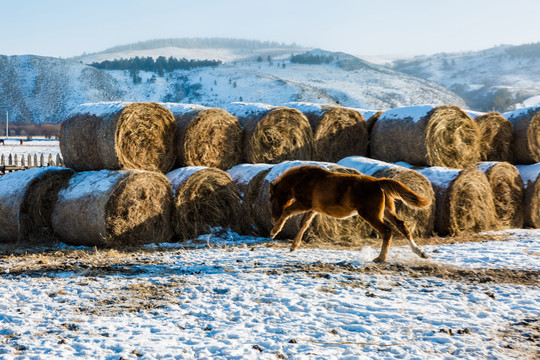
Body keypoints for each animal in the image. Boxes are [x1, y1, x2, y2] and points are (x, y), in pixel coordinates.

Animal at [270, 165, 430, 262]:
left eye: (271, 198)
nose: (273, 218)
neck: (305, 180)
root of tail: (378, 182)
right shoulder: (313, 209)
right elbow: (303, 224)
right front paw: (294, 246)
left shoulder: (304, 204)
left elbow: (288, 212)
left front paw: (274, 231)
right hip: (386, 212)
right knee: (402, 226)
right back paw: (420, 252)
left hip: (371, 215)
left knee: (387, 231)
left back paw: (380, 258)